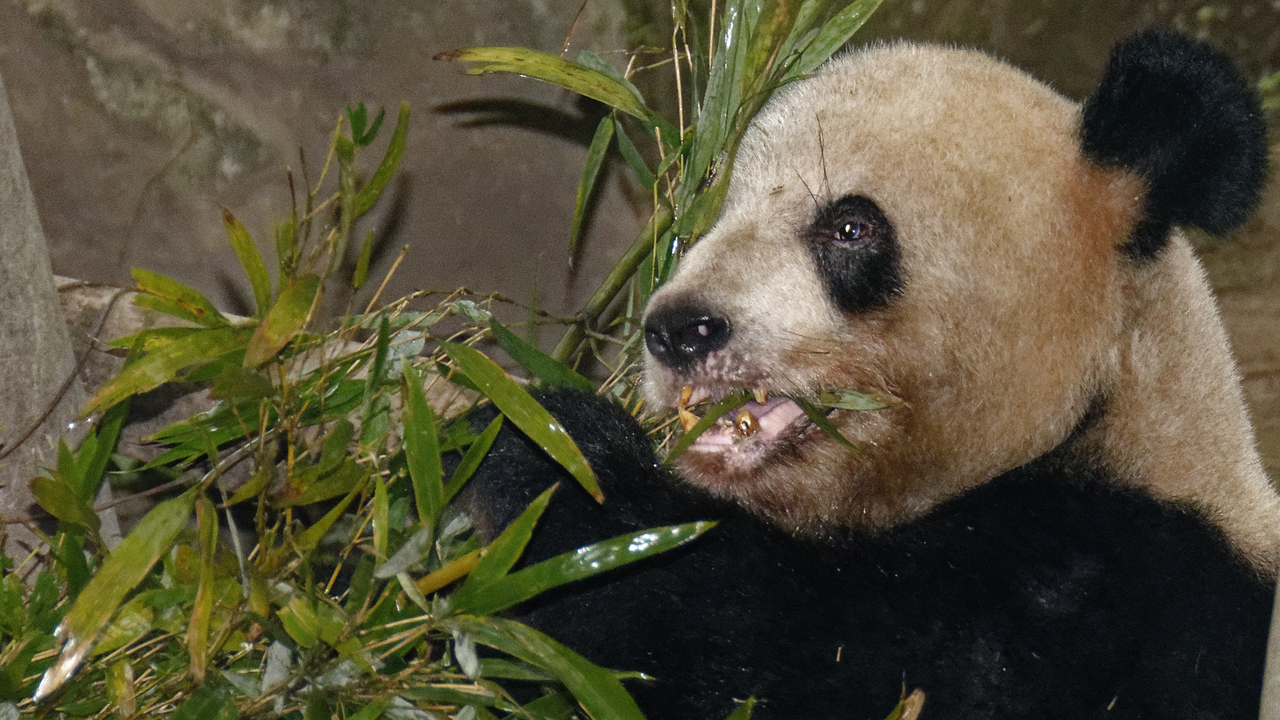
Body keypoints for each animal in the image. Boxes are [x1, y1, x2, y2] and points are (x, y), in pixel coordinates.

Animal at [463, 30, 1280, 719]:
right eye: (715, 215)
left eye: (850, 227)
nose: (679, 330)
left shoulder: (1118, 596)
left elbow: (808, 651)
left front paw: (546, 456)